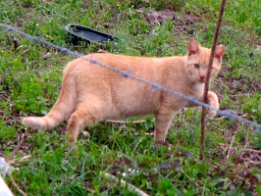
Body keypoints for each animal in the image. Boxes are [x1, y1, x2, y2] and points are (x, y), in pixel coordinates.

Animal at [21, 39, 223, 143]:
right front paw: (158, 150)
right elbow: (161, 132)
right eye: (196, 66)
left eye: (210, 69)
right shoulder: (166, 111)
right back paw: (72, 147)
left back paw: (81, 136)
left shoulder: (191, 99)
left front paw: (213, 110)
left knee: (69, 116)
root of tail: (75, 62)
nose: (203, 77)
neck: (191, 81)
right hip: (99, 104)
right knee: (74, 118)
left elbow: (211, 94)